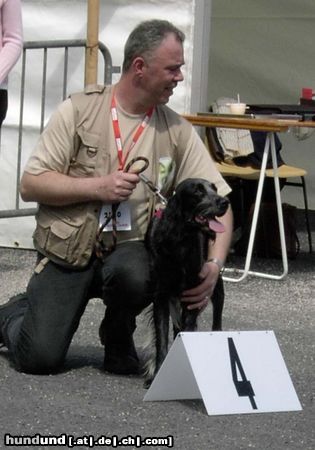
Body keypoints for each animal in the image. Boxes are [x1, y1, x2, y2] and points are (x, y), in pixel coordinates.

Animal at [144, 177, 230, 386]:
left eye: (215, 189)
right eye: (197, 191)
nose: (225, 202)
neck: (179, 243)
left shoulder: (193, 295)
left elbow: (186, 332)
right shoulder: (161, 296)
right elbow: (162, 340)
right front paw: (158, 375)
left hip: (215, 283)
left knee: (217, 320)